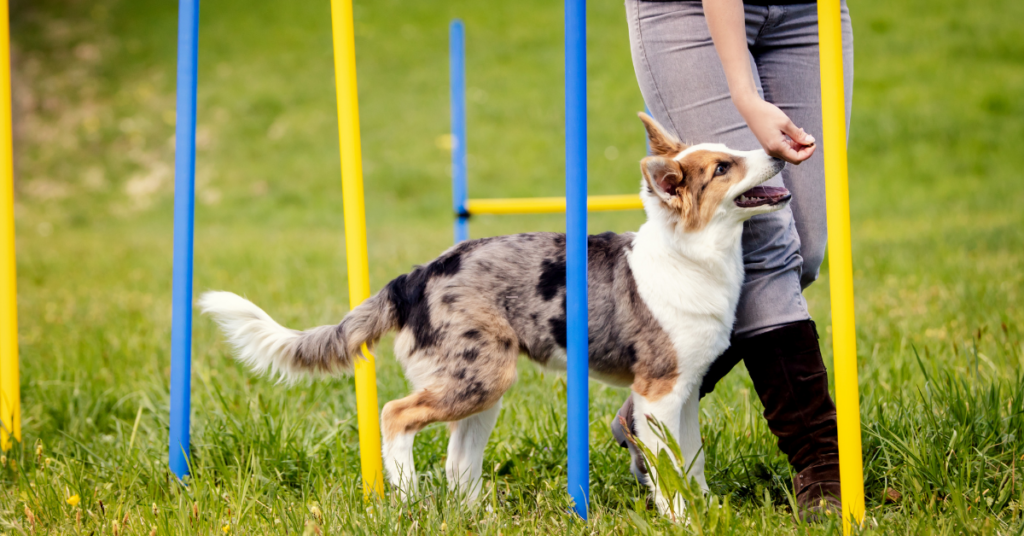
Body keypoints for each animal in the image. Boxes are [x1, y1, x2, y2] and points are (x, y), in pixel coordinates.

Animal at [201, 112, 790, 516]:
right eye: (723, 168)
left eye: (730, 152)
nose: (778, 148)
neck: (692, 256)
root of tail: (416, 276)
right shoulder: (658, 393)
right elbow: (669, 471)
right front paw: (682, 518)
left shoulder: (684, 393)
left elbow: (692, 461)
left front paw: (704, 509)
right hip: (479, 376)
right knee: (396, 415)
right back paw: (407, 498)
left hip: (483, 385)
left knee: (458, 461)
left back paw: (470, 514)